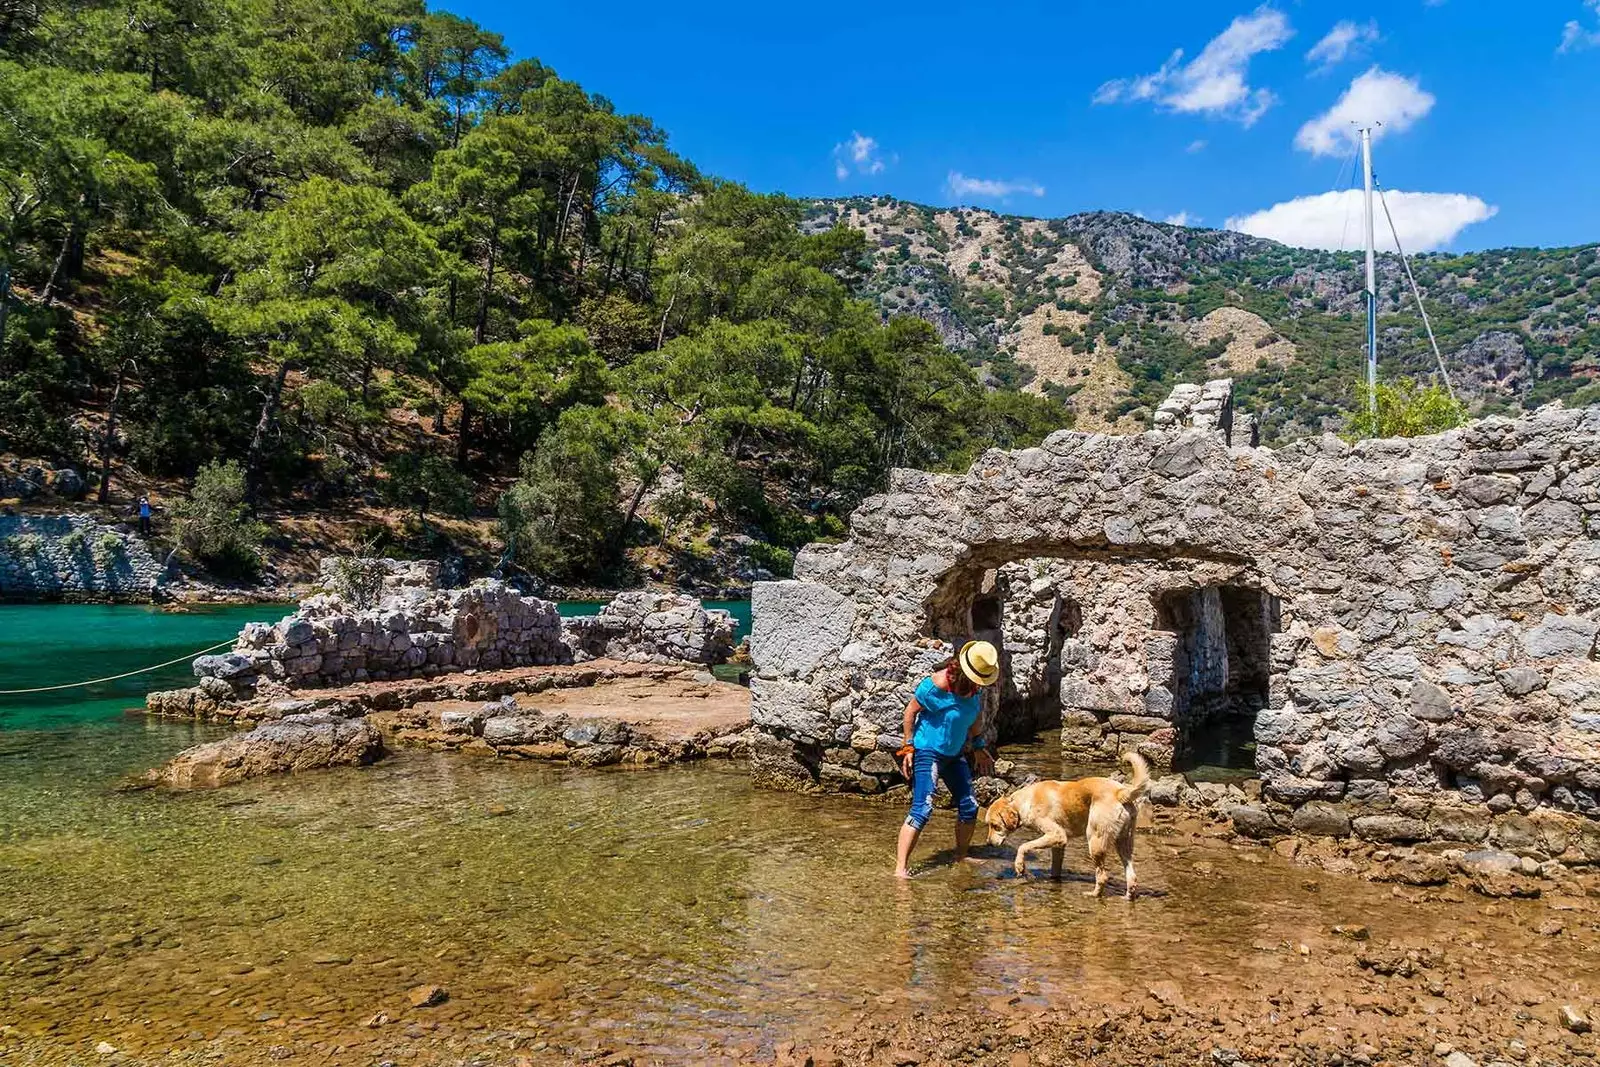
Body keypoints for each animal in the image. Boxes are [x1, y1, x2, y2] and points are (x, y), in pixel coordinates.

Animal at [985, 751, 1152, 902]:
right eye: (989, 825)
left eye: (995, 826)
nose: (988, 844)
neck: (1023, 802)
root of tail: (1120, 792)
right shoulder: (1059, 844)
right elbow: (1055, 868)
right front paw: (1053, 881)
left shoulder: (1057, 834)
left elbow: (1023, 846)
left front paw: (1020, 866)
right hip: (1124, 842)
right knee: (1132, 877)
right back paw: (1127, 897)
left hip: (1095, 841)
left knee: (1102, 876)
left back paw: (1093, 894)